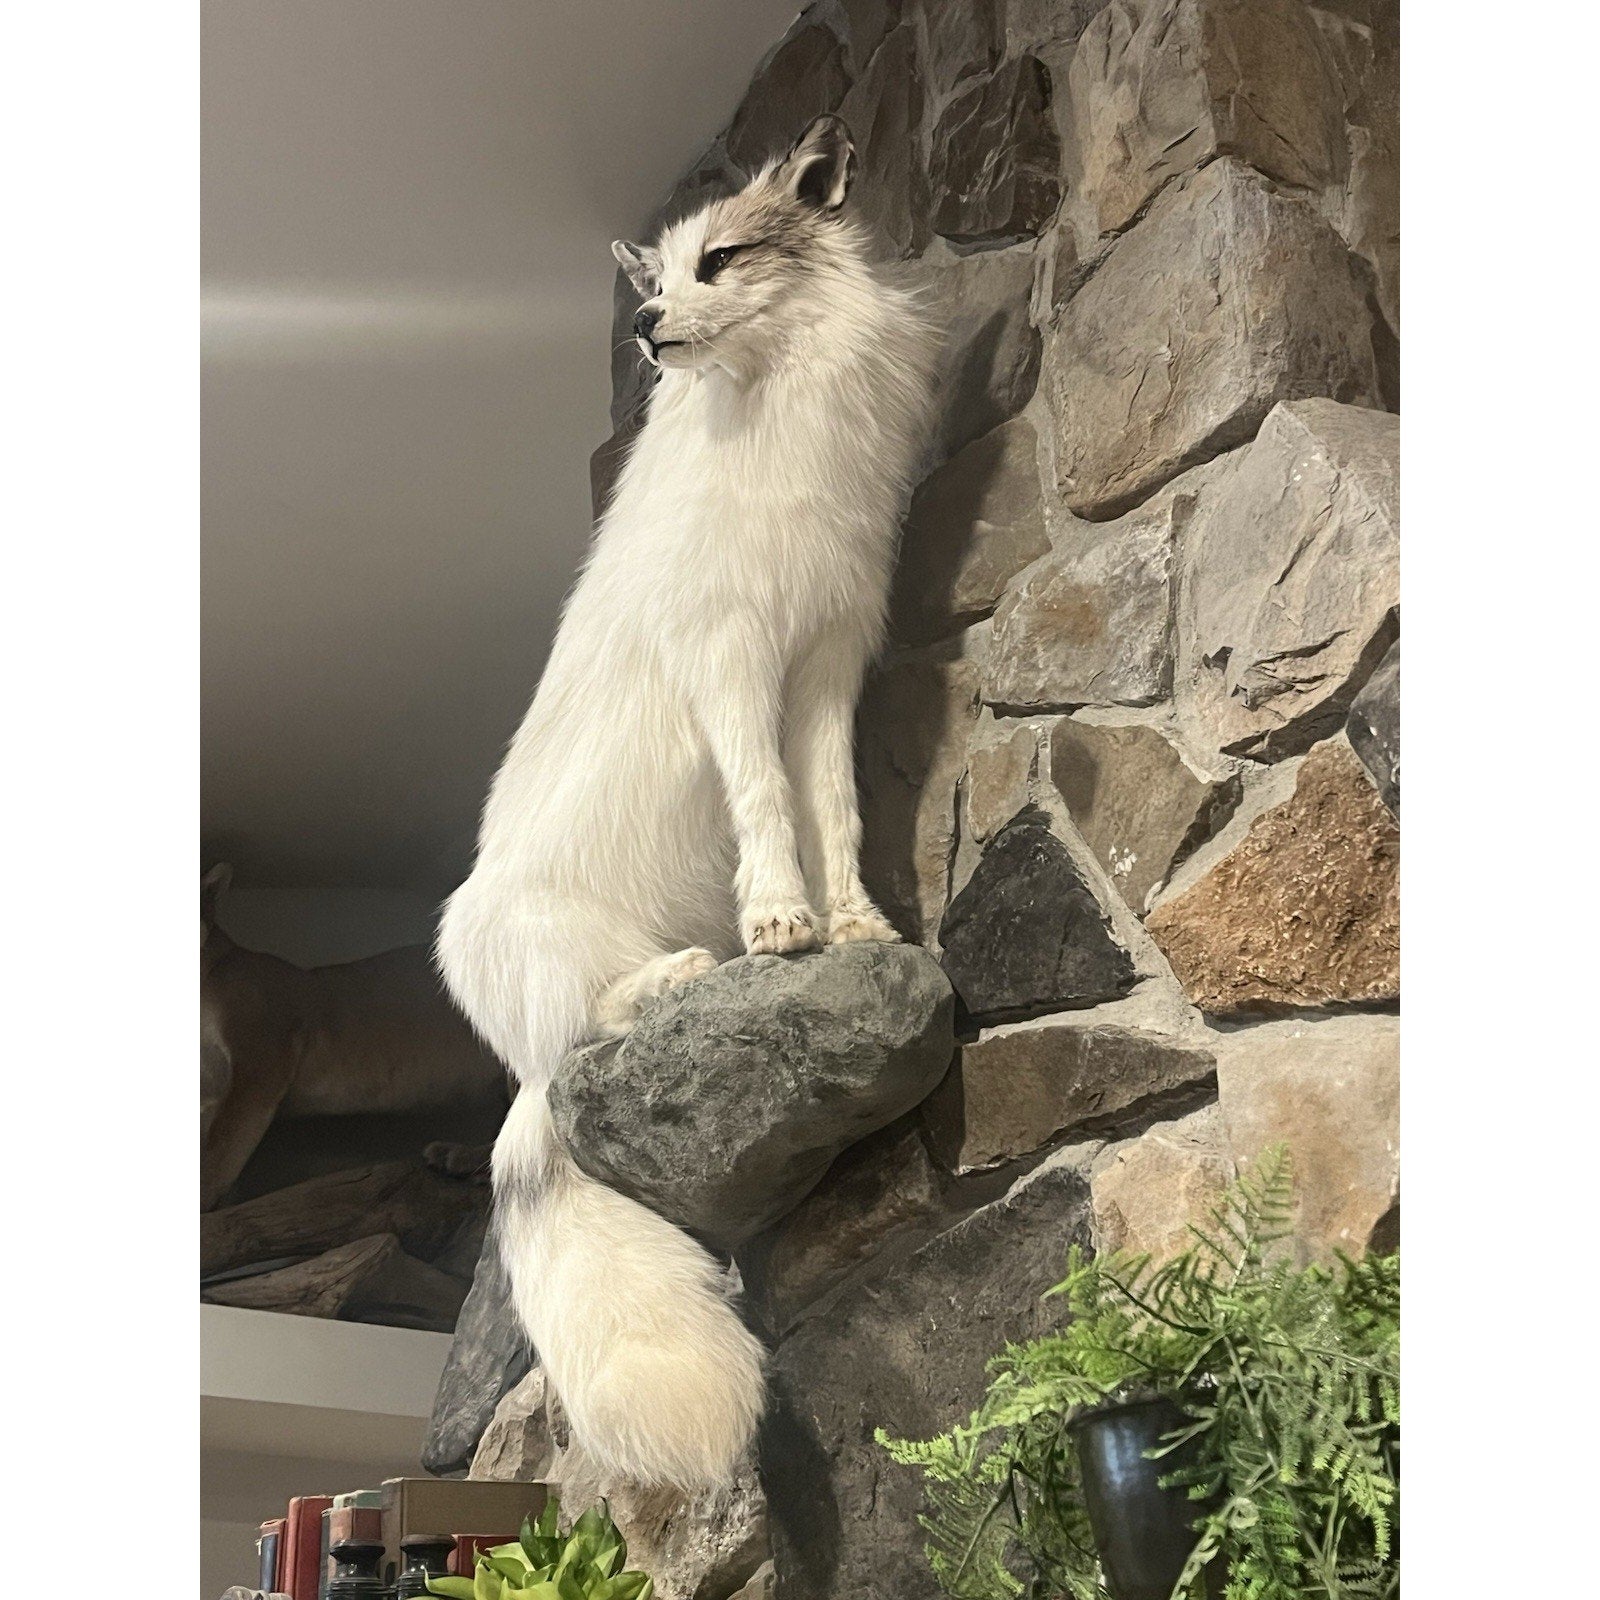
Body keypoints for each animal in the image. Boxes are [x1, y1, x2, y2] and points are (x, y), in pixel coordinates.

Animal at [436, 114, 937, 1489]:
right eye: (651, 283)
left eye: (718, 260)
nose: (653, 331)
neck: (772, 418)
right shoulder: (732, 654)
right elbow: (765, 798)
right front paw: (779, 924)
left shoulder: (828, 659)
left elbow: (834, 806)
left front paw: (857, 923)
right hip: (521, 958)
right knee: (579, 1041)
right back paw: (678, 974)